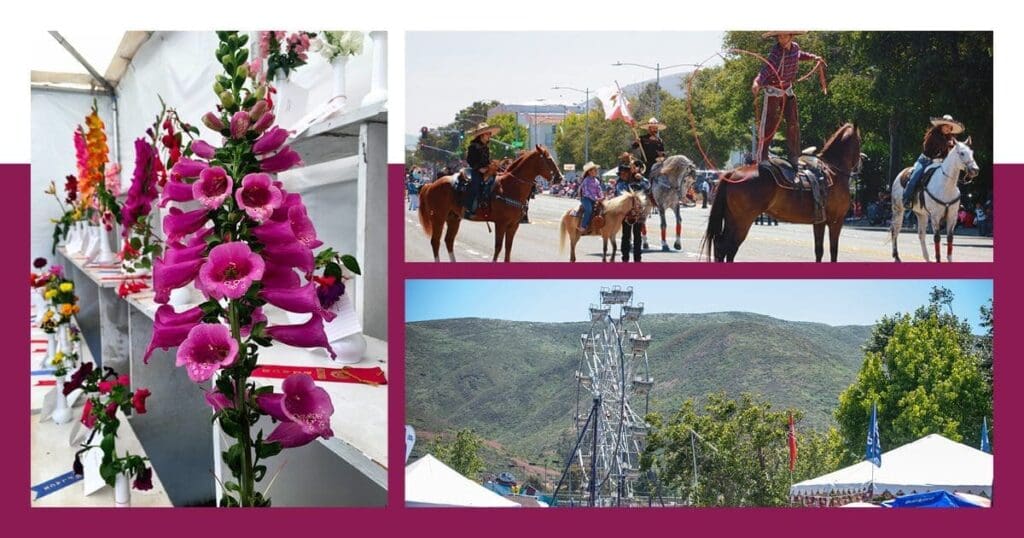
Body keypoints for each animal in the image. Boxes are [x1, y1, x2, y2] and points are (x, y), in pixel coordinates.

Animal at [415, 146, 565, 262]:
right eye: (549, 159)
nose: (560, 178)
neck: (511, 186)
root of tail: (431, 184)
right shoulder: (501, 224)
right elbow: (498, 247)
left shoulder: (513, 226)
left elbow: (508, 248)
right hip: (438, 218)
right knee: (435, 241)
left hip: (453, 218)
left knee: (448, 241)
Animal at [700, 123, 860, 262]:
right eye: (859, 139)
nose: (862, 161)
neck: (834, 171)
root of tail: (732, 172)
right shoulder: (836, 221)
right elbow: (834, 251)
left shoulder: (820, 222)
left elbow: (819, 250)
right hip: (742, 220)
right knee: (729, 246)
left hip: (732, 218)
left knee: (722, 245)